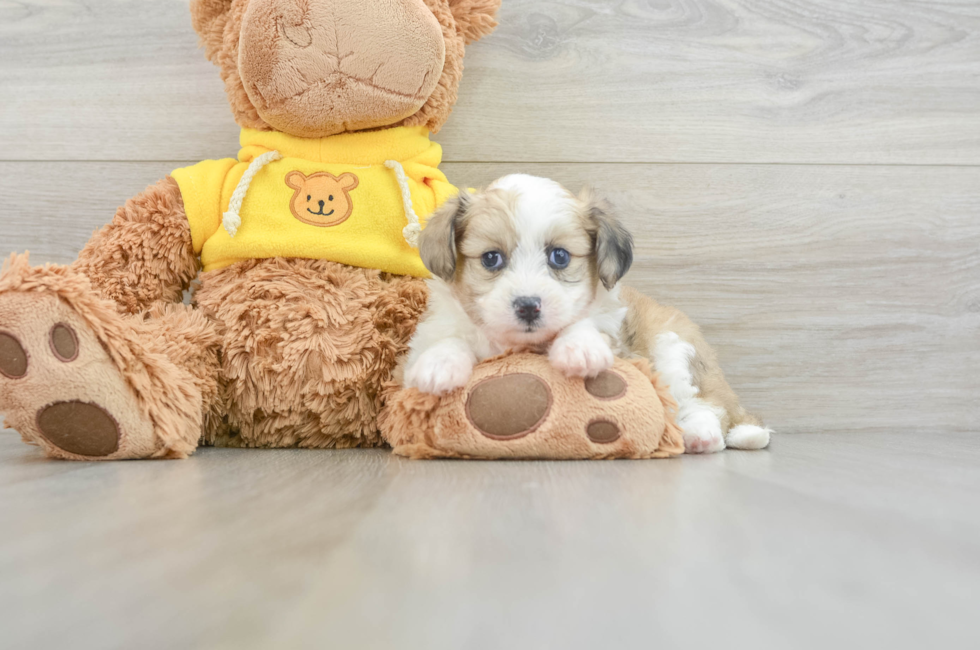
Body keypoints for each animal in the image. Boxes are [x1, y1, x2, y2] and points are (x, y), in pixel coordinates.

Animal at [402, 175, 768, 454]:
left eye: (560, 257)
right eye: (491, 258)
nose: (528, 305)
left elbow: (584, 324)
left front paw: (580, 348)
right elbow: (449, 339)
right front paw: (440, 364)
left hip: (673, 350)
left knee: (706, 405)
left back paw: (700, 435)